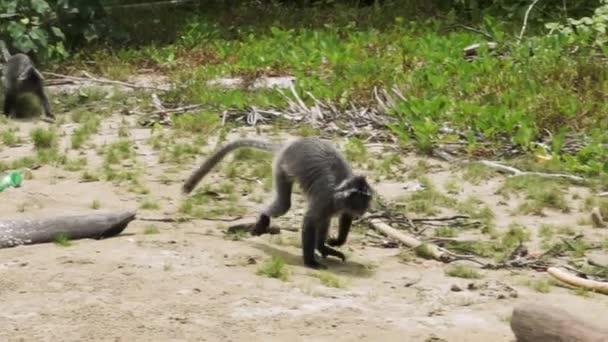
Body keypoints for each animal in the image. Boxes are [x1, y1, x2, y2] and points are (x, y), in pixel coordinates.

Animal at [182, 138, 370, 268]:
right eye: (357, 197)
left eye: (365, 197)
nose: (362, 207)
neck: (342, 189)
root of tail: (289, 144)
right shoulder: (326, 197)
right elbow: (309, 221)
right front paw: (310, 261)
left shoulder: (337, 203)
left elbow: (345, 216)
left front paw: (336, 241)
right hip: (282, 167)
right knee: (284, 205)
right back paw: (264, 219)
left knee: (323, 218)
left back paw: (322, 247)